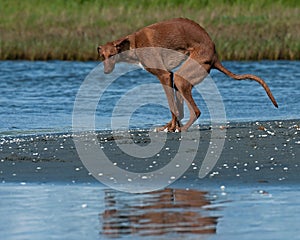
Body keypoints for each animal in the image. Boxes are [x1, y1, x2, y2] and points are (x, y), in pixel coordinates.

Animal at [97, 18, 278, 132]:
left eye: (112, 55)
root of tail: (215, 56)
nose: (106, 71)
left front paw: (172, 128)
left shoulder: (164, 75)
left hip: (181, 78)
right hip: (180, 79)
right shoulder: (168, 75)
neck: (133, 44)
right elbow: (176, 109)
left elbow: (172, 107)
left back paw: (181, 128)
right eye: (102, 56)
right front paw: (170, 127)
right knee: (184, 109)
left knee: (196, 111)